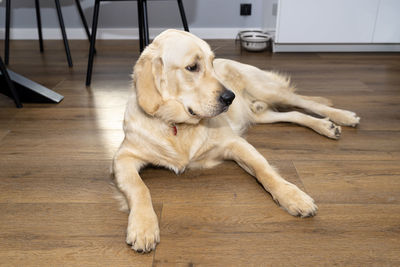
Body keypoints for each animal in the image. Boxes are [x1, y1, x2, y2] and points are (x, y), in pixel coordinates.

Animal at [111, 29, 360, 253]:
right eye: (192, 67)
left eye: (211, 63)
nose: (230, 97)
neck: (177, 126)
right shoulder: (123, 158)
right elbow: (140, 188)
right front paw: (143, 227)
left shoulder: (235, 143)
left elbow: (264, 170)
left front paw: (293, 197)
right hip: (261, 114)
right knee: (293, 114)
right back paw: (326, 126)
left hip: (266, 89)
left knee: (306, 102)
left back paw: (342, 117)